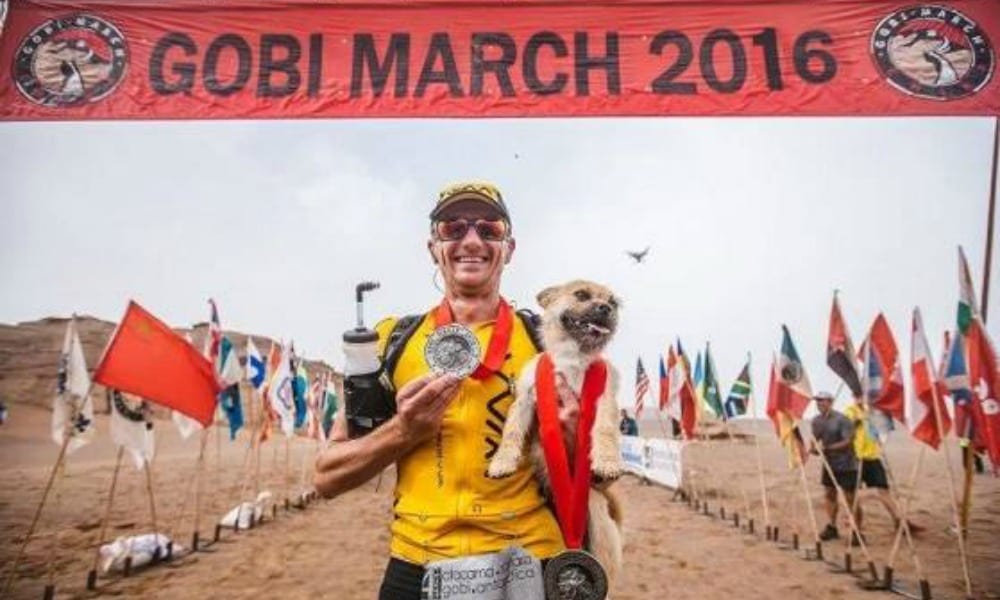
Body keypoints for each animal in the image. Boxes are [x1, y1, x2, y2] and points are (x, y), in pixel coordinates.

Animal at [486, 280, 620, 596]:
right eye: (581, 294)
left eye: (613, 302)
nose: (606, 309)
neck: (573, 359)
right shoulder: (525, 399)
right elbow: (511, 432)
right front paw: (502, 462)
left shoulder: (604, 401)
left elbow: (605, 430)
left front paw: (607, 461)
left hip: (598, 521)